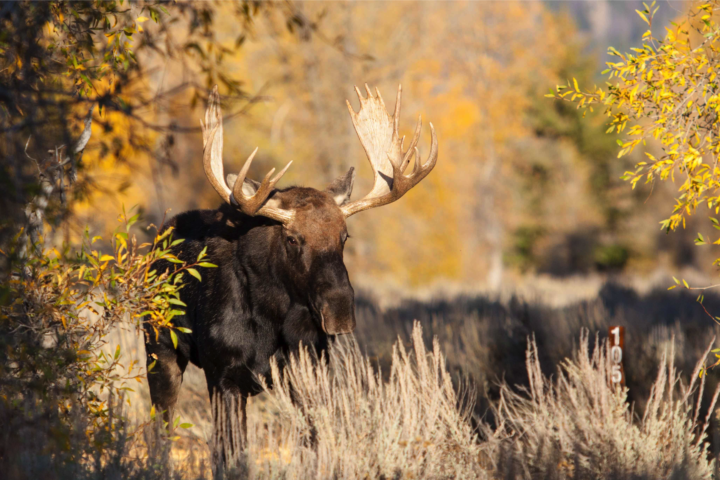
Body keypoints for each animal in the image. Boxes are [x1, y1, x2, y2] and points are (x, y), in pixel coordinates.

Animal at [144, 84, 438, 472]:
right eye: (293, 239)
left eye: (344, 236)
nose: (339, 310)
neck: (272, 318)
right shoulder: (223, 375)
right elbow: (229, 457)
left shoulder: (309, 369)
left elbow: (311, 446)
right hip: (158, 348)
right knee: (161, 427)